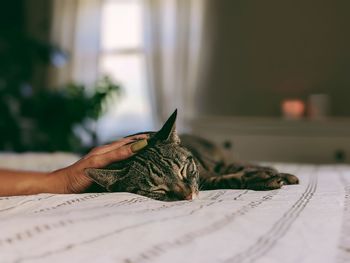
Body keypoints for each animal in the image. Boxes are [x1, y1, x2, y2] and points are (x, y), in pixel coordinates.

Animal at [85, 110, 298, 202]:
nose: (188, 196)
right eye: (157, 189)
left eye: (184, 170)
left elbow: (236, 170)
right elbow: (226, 179)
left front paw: (274, 174)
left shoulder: (208, 168)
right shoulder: (208, 179)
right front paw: (264, 179)